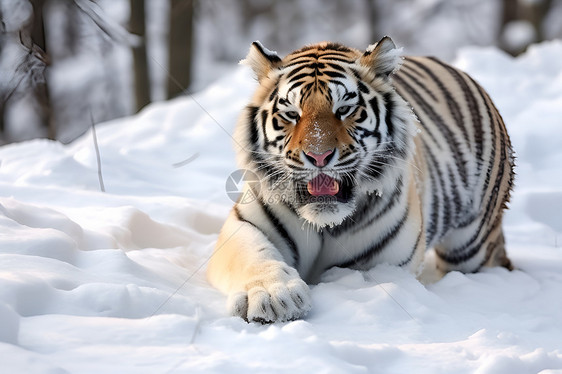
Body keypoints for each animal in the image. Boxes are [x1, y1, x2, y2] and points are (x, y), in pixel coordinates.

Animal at [205, 37, 512, 324]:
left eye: (344, 109)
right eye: (292, 114)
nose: (318, 156)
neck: (325, 225)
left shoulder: (387, 262)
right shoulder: (245, 225)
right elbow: (254, 255)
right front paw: (274, 297)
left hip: (472, 243)